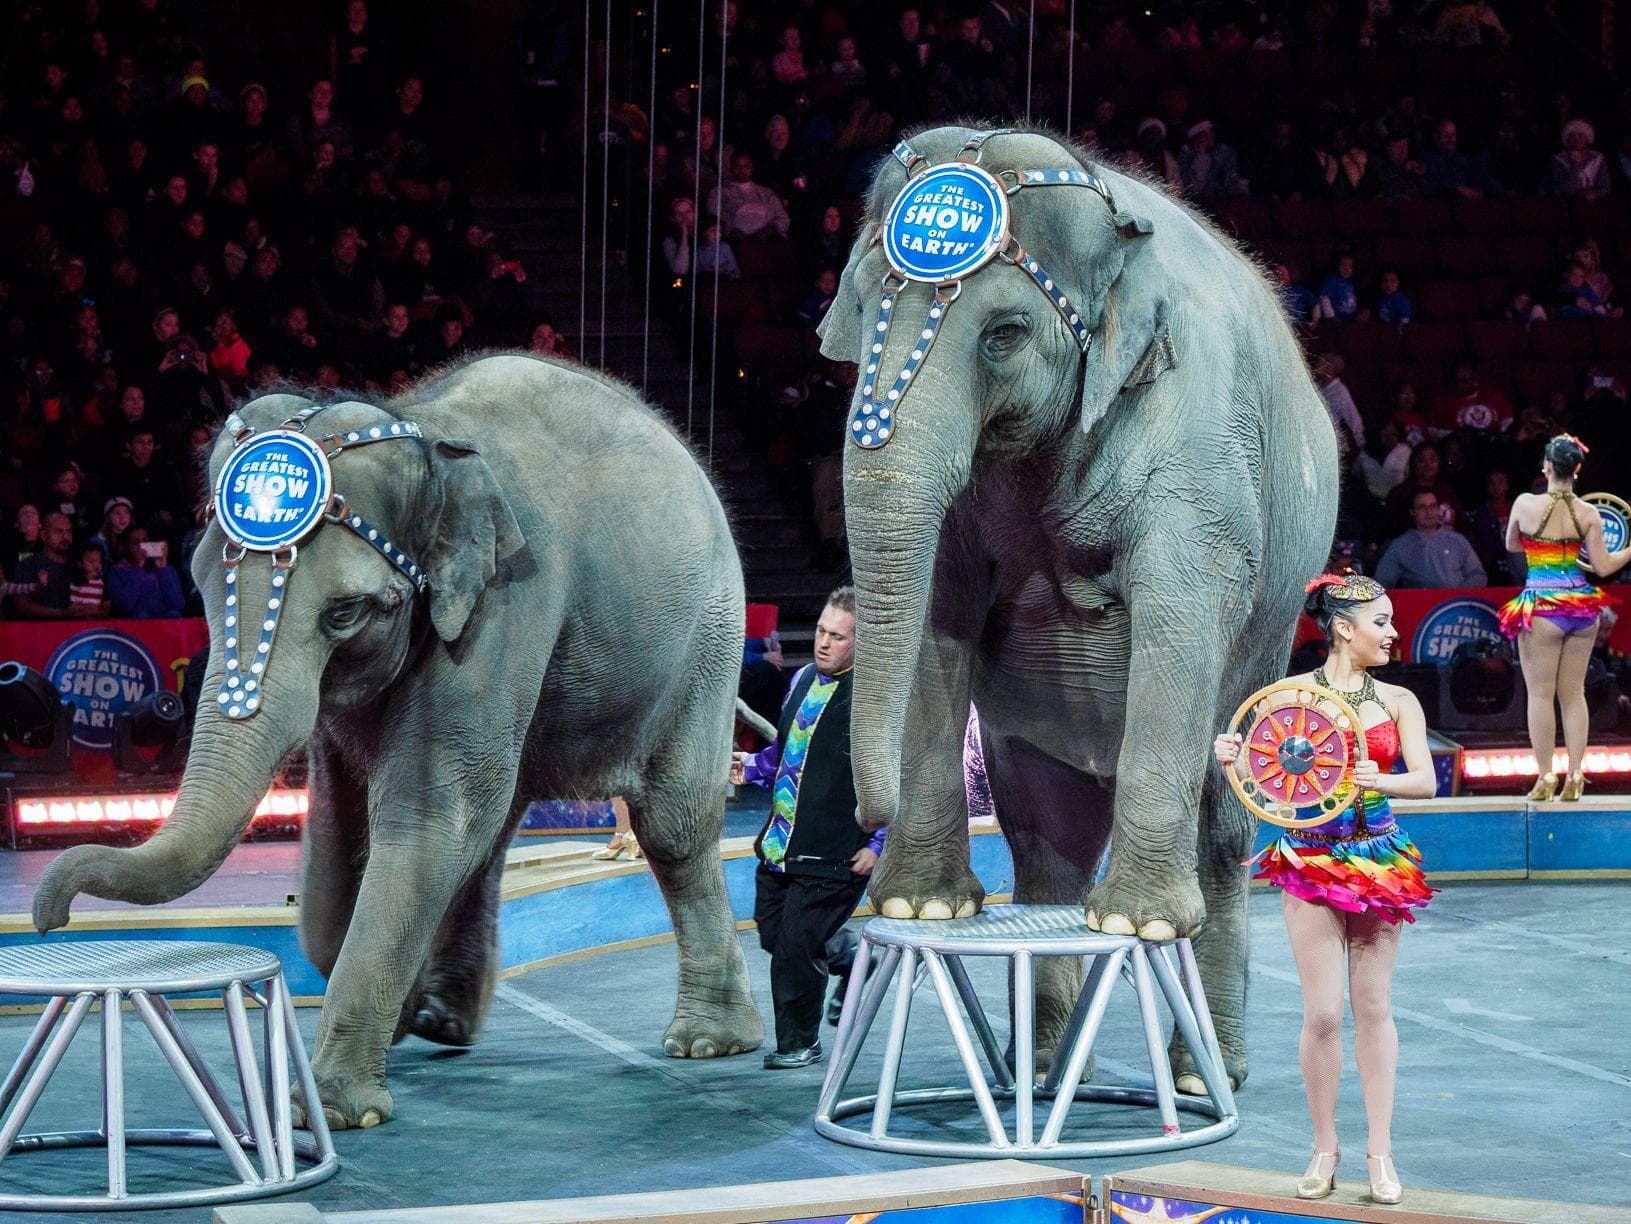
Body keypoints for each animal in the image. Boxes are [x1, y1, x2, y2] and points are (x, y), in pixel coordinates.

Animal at [32, 353, 764, 1127]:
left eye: (346, 612)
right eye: (199, 583)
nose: (50, 920)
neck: (424, 437)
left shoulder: (503, 606)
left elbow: (429, 817)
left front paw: (329, 1111)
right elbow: (339, 828)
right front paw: (403, 1015)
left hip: (709, 637)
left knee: (669, 825)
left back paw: (708, 1041)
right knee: (495, 827)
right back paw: (446, 1020)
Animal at [817, 124, 1339, 1091]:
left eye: (1004, 333)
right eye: (863, 311)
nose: (866, 824)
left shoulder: (1199, 447)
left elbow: (1180, 605)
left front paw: (1136, 924)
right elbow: (937, 604)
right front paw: (921, 908)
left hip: (1266, 650)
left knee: (1223, 828)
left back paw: (1195, 1066)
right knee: (1043, 833)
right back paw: (1041, 1066)